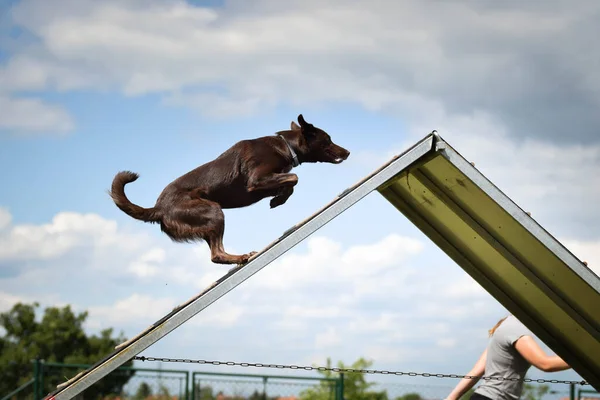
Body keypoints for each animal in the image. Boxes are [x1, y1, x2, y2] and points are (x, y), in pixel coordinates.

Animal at [110, 115, 350, 266]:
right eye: (328, 139)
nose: (347, 152)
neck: (286, 146)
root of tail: (158, 208)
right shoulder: (256, 180)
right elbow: (294, 178)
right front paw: (279, 199)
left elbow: (289, 182)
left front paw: (278, 197)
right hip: (212, 210)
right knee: (216, 254)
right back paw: (241, 257)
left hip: (207, 220)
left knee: (216, 253)